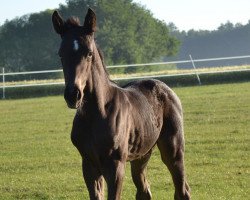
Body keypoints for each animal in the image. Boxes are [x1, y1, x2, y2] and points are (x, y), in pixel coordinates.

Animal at [51, 8, 190, 200]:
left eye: (89, 53)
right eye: (61, 54)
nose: (73, 95)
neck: (96, 113)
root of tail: (165, 88)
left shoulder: (115, 165)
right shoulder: (88, 165)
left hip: (173, 150)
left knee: (182, 190)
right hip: (141, 154)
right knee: (144, 190)